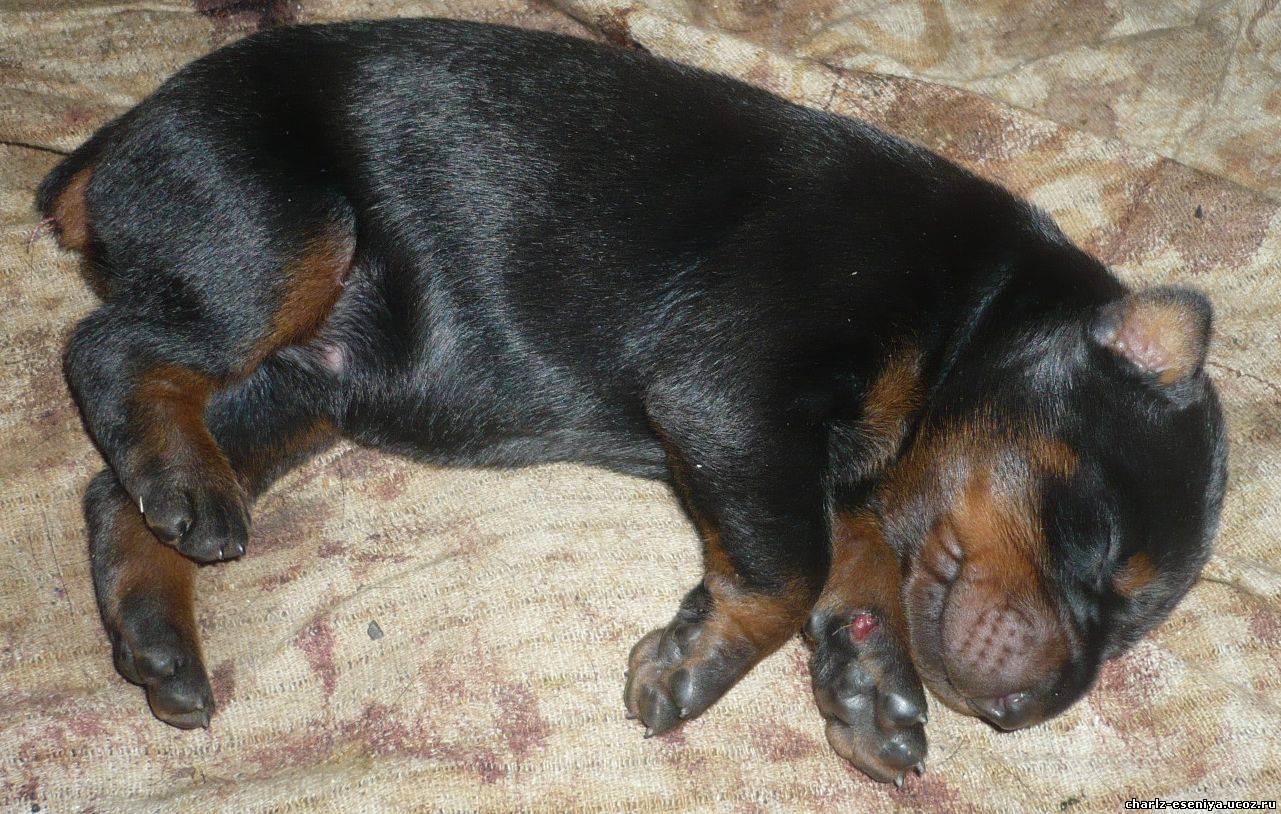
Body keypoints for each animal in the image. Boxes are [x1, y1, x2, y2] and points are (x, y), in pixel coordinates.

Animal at [37, 18, 1227, 786]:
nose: (1029, 715)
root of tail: (110, 143)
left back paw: (160, 627)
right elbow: (789, 568)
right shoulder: (733, 389)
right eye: (1095, 547)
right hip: (283, 226)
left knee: (112, 483)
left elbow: (857, 558)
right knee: (106, 350)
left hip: (313, 382)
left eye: (1132, 629)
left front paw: (871, 683)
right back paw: (185, 488)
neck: (968, 315)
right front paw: (694, 666)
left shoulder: (812, 460)